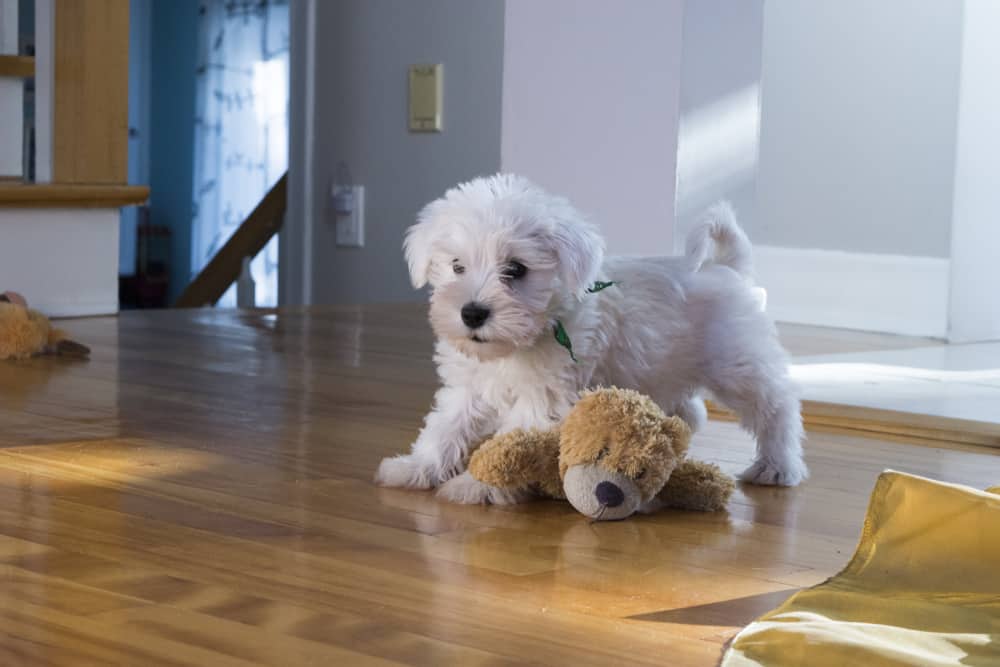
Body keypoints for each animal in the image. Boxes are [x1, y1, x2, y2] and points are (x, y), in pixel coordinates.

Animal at [376, 175, 804, 504]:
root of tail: (725, 267)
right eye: (456, 266)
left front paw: (476, 485)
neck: (526, 340)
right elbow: (445, 428)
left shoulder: (543, 398)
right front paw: (416, 467)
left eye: (516, 269)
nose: (472, 313)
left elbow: (509, 442)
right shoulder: (468, 387)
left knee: (776, 407)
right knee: (693, 410)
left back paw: (777, 466)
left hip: (737, 364)